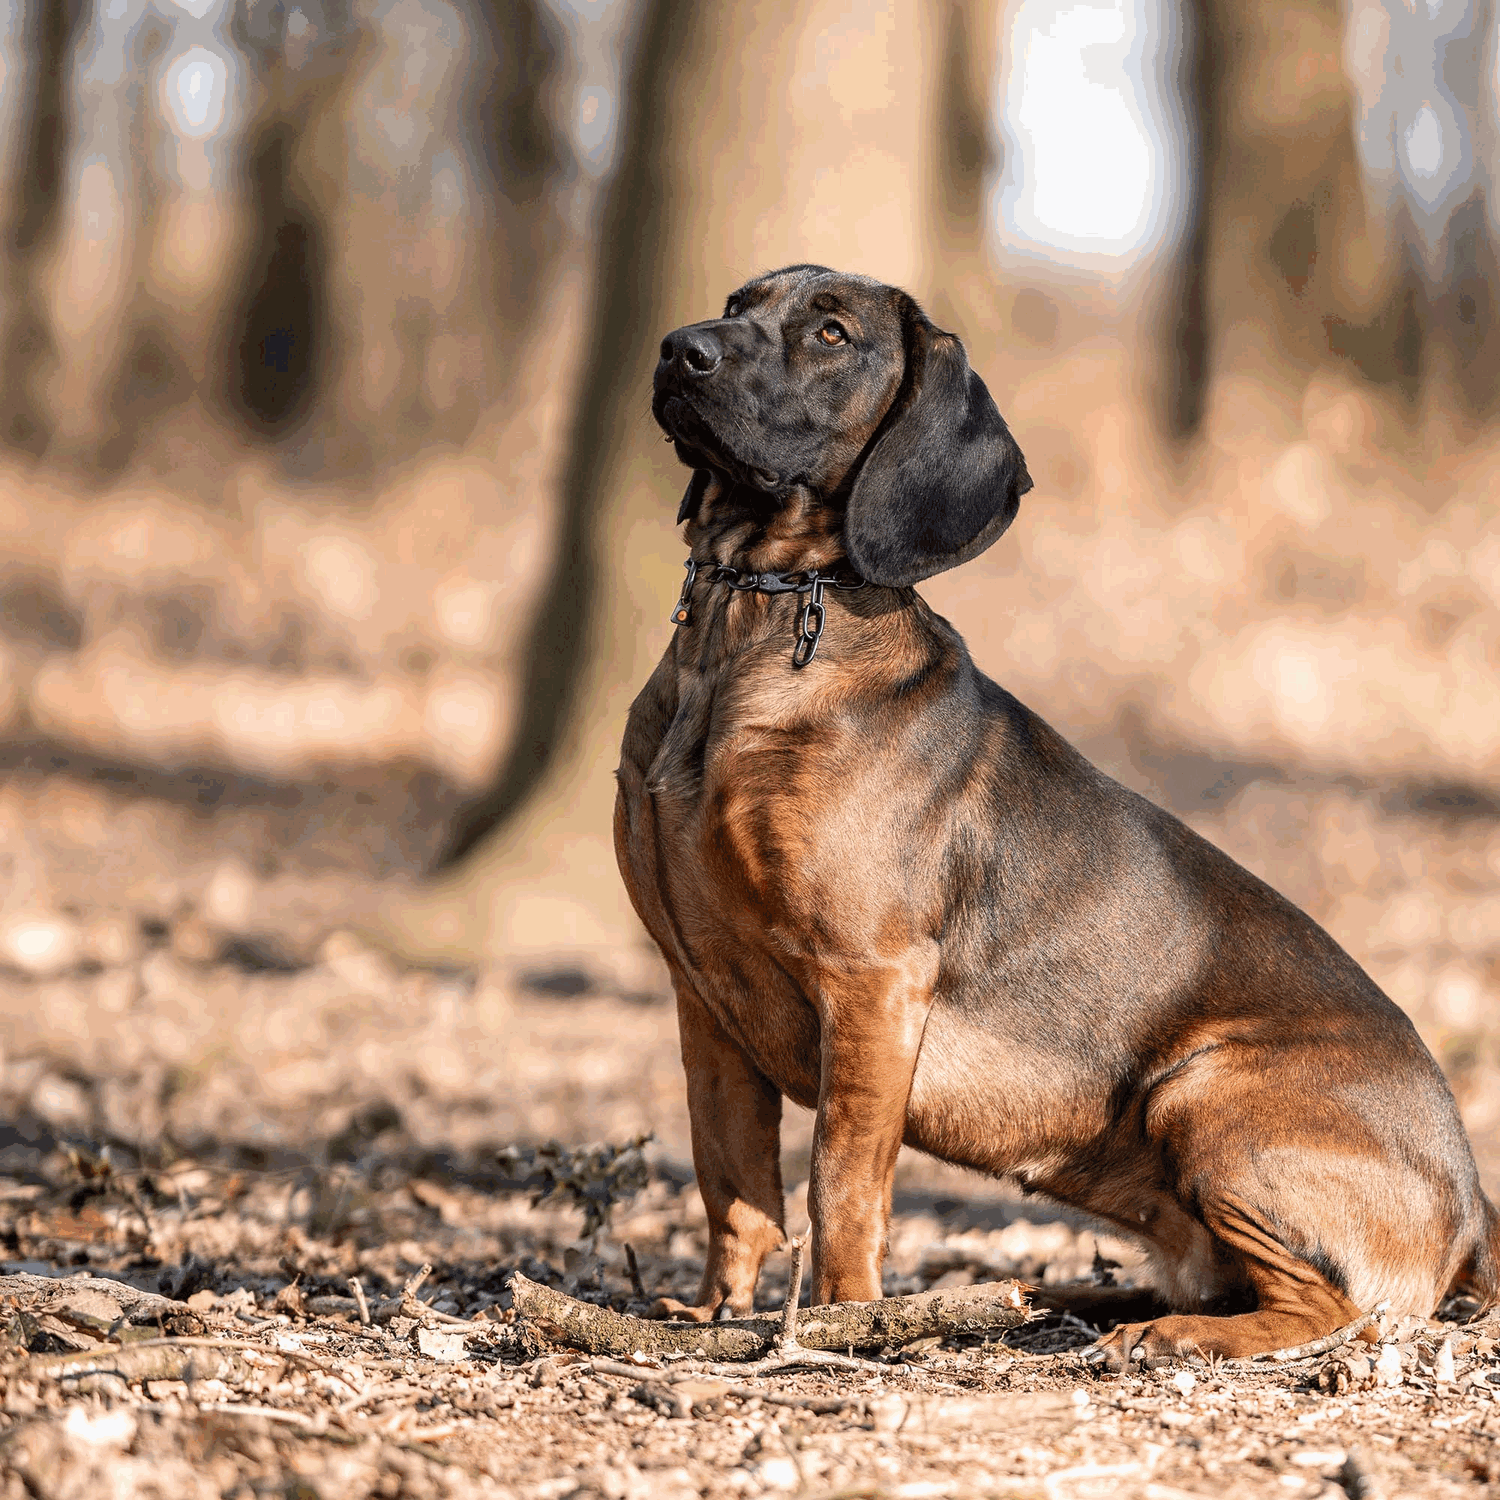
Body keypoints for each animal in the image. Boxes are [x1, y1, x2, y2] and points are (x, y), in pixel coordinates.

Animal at [612, 264, 1500, 1368]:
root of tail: (1474, 1211)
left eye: (831, 334)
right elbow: (731, 1184)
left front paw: (843, 1323)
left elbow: (839, 1188)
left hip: (1201, 1085)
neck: (751, 627)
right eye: (739, 302)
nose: (678, 348)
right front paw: (713, 1319)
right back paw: (1057, 1302)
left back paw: (1160, 1334)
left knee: (1331, 1307)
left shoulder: (871, 980)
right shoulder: (702, 994)